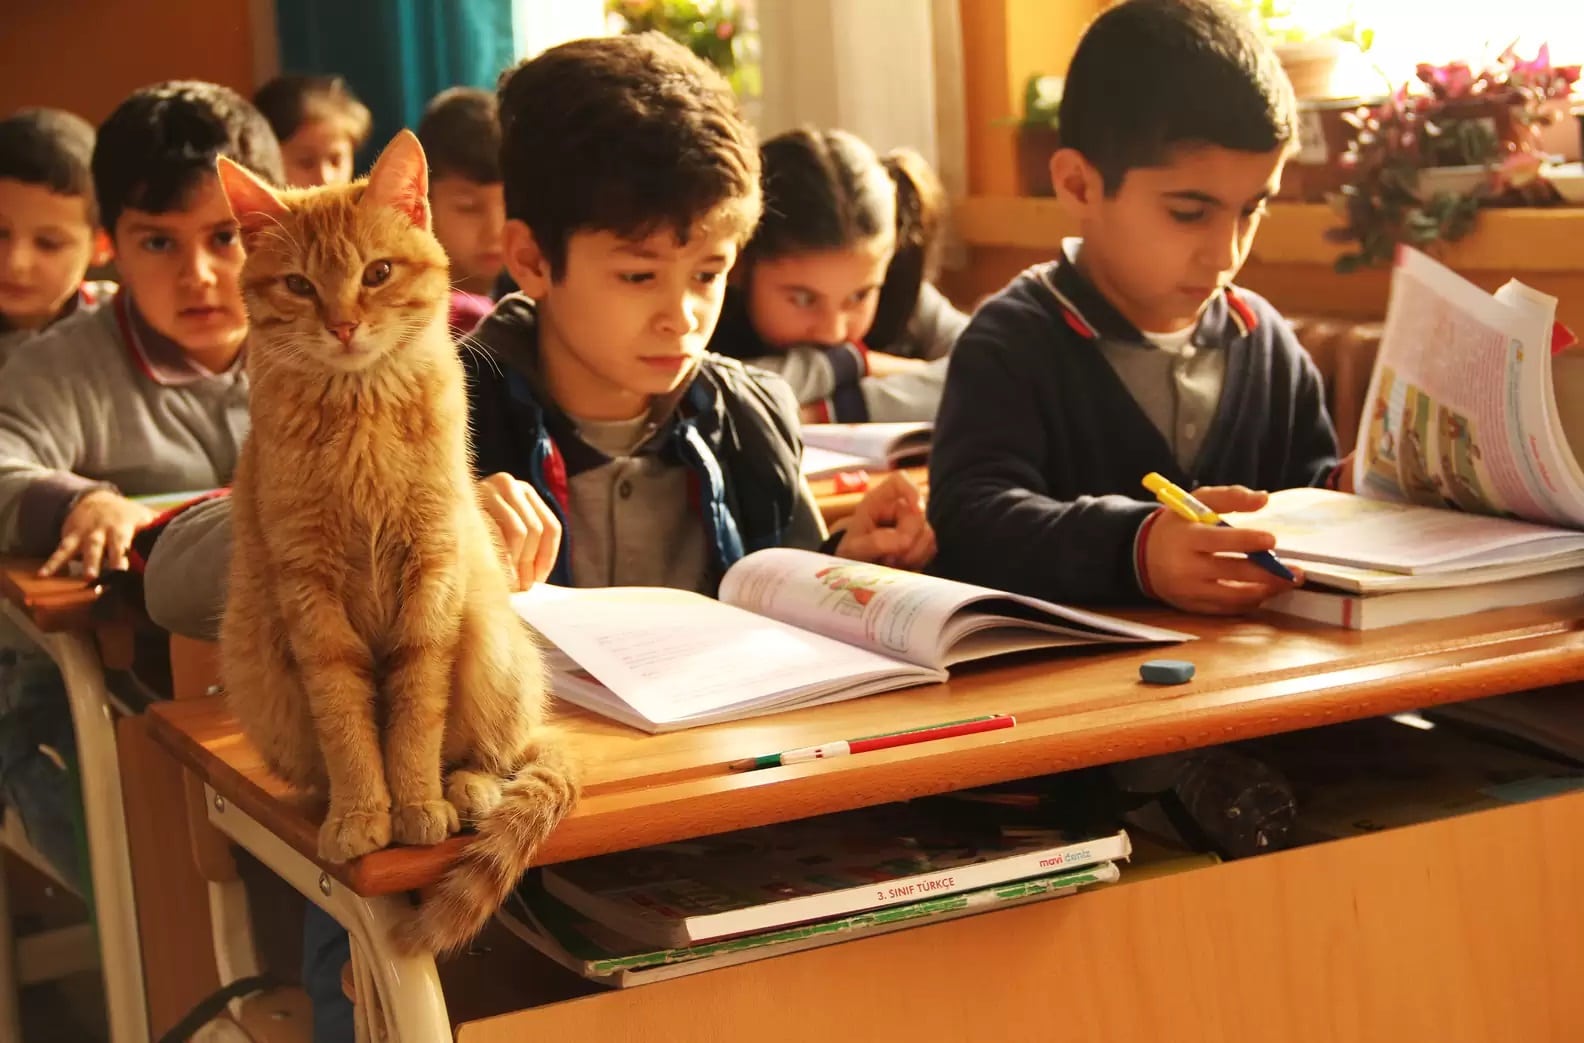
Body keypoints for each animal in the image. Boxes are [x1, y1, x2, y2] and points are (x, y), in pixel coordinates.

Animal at [215, 129, 576, 951]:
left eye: (376, 273)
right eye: (298, 285)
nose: (344, 324)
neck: (360, 416)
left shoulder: (431, 569)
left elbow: (413, 709)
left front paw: (412, 802)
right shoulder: (309, 590)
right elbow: (348, 720)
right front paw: (362, 811)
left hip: (489, 641)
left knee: (499, 755)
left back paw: (465, 788)